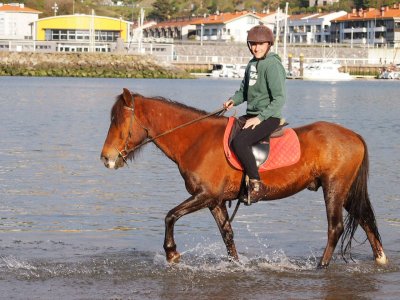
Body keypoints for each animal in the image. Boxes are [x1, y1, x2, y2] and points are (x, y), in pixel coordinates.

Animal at [100, 88, 388, 268]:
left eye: (118, 121)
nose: (106, 158)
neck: (196, 140)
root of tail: (354, 135)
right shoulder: (215, 201)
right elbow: (227, 234)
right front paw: (236, 265)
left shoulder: (205, 195)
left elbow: (170, 216)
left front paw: (171, 253)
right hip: (345, 191)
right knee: (364, 219)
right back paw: (380, 259)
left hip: (334, 188)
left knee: (335, 228)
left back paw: (322, 265)